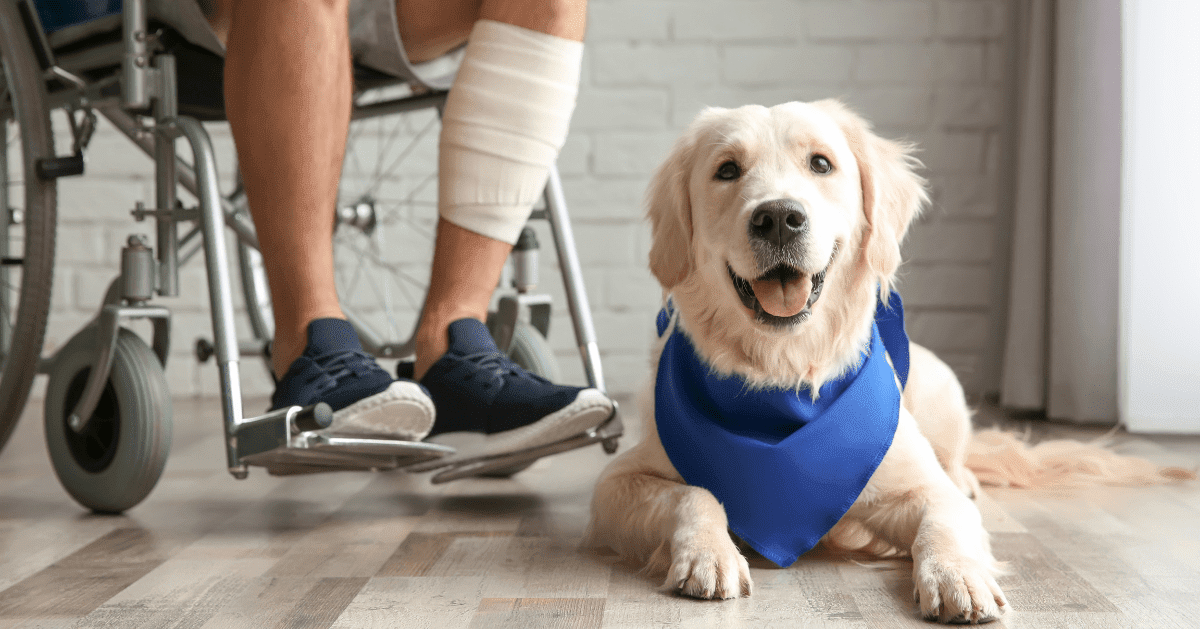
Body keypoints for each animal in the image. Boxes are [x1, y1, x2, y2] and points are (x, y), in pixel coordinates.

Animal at [585, 100, 1008, 619]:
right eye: (727, 170)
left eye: (821, 164)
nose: (779, 218)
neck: (782, 372)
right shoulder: (617, 482)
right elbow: (694, 494)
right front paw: (708, 554)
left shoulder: (919, 485)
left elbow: (946, 516)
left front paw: (957, 576)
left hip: (941, 388)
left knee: (956, 461)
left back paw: (965, 476)